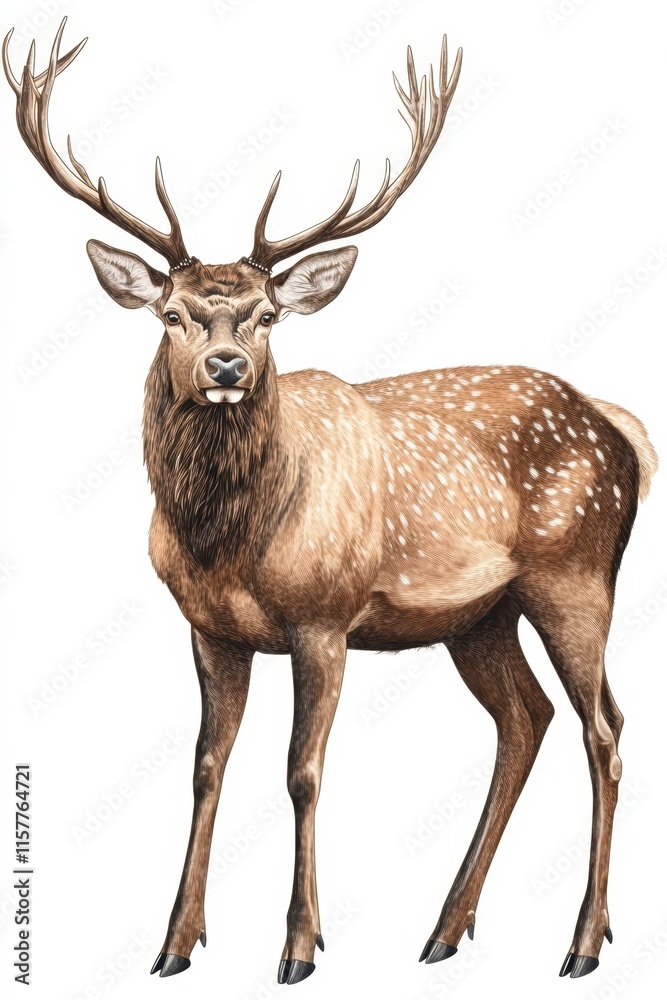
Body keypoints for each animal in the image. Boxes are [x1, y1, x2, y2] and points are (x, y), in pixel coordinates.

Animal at [4, 18, 657, 985]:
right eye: (172, 313)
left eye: (268, 314)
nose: (226, 366)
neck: (228, 540)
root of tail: (616, 425)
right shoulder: (207, 627)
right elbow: (206, 765)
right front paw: (174, 943)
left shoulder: (324, 616)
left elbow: (301, 770)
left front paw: (299, 946)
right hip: (479, 616)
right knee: (524, 720)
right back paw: (443, 928)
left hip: (575, 577)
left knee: (604, 728)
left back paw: (580, 943)